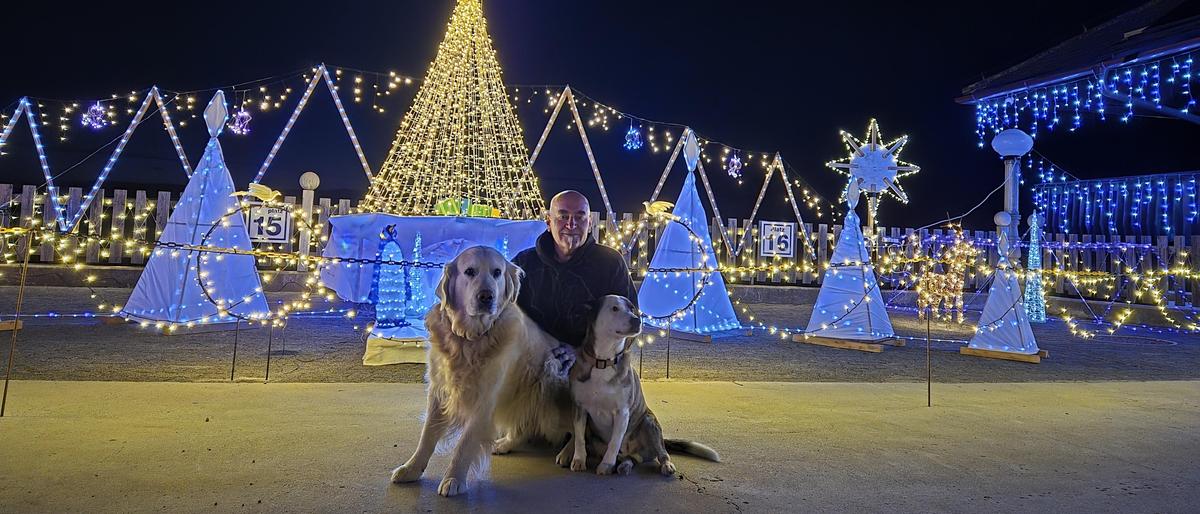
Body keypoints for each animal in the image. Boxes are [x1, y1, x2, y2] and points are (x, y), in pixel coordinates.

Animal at [386, 247, 568, 494]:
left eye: (497, 272)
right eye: (469, 271)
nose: (486, 297)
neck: (469, 338)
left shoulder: (485, 398)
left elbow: (465, 443)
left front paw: (454, 479)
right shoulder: (439, 390)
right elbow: (427, 435)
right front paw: (411, 469)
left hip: (550, 376)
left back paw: (570, 454)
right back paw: (505, 443)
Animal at [554, 295, 715, 475]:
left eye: (632, 308)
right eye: (614, 308)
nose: (637, 320)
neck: (603, 361)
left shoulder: (622, 412)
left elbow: (614, 442)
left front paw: (606, 465)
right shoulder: (579, 408)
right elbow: (579, 438)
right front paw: (579, 460)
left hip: (649, 422)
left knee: (660, 452)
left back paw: (664, 465)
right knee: (632, 458)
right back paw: (625, 465)